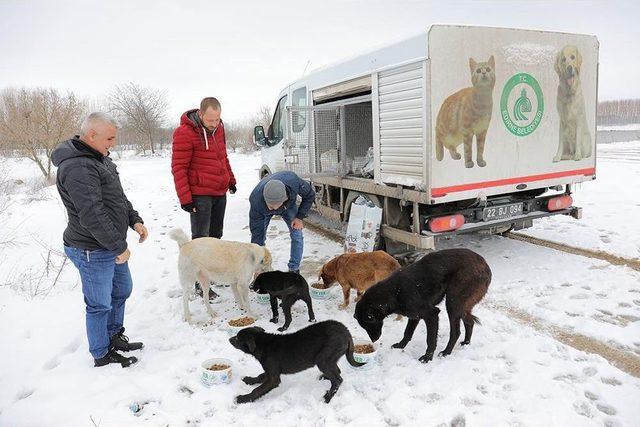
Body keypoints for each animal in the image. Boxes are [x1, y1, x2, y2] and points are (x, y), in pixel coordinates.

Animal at [229, 320, 364, 404]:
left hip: (323, 359)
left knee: (338, 380)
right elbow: (260, 376)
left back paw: (327, 397)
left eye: (237, 338)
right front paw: (249, 380)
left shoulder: (273, 378)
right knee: (337, 372)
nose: (229, 339)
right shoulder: (269, 371)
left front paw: (243, 398)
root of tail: (346, 332)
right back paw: (324, 377)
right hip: (330, 359)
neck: (263, 344)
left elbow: (257, 390)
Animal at [352, 249, 492, 362]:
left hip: (453, 303)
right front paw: (401, 346)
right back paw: (466, 343)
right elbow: (407, 332)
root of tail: (486, 266)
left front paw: (427, 357)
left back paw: (446, 352)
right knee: (470, 321)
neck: (393, 293)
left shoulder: (431, 314)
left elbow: (430, 339)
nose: (373, 340)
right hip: (461, 305)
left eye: (369, 323)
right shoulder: (414, 316)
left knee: (456, 332)